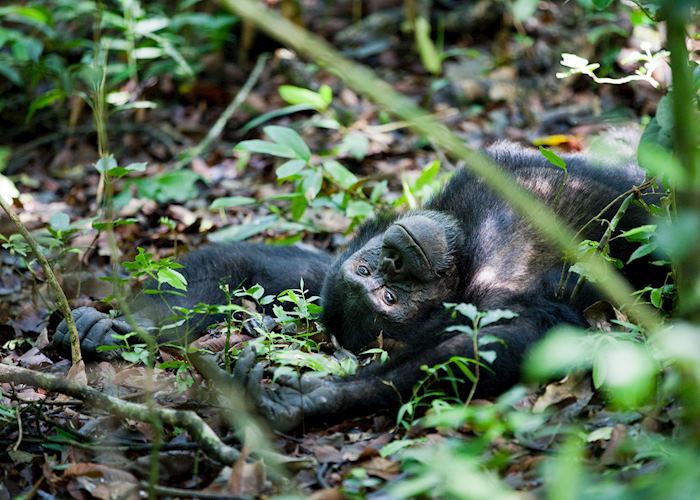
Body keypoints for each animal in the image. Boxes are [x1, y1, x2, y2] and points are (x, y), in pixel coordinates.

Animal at [53, 144, 656, 430]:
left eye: (372, 275)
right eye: (387, 297)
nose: (395, 260)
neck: (468, 257)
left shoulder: (318, 274)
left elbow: (254, 264)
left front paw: (114, 326)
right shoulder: (497, 302)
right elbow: (503, 340)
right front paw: (312, 398)